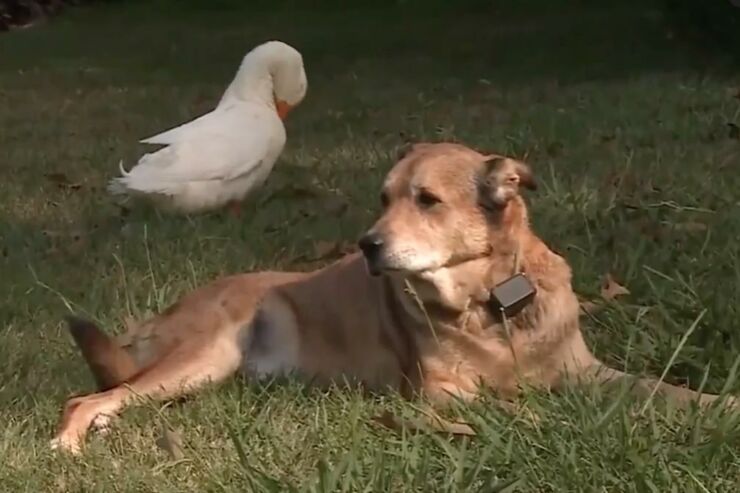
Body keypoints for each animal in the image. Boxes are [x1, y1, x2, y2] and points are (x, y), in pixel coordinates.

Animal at [50, 140, 736, 452]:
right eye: (383, 198)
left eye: (426, 200)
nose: (367, 245)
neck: (490, 306)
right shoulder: (441, 396)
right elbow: (522, 409)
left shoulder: (588, 370)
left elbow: (661, 390)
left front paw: (716, 407)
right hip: (204, 355)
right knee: (90, 395)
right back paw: (72, 441)